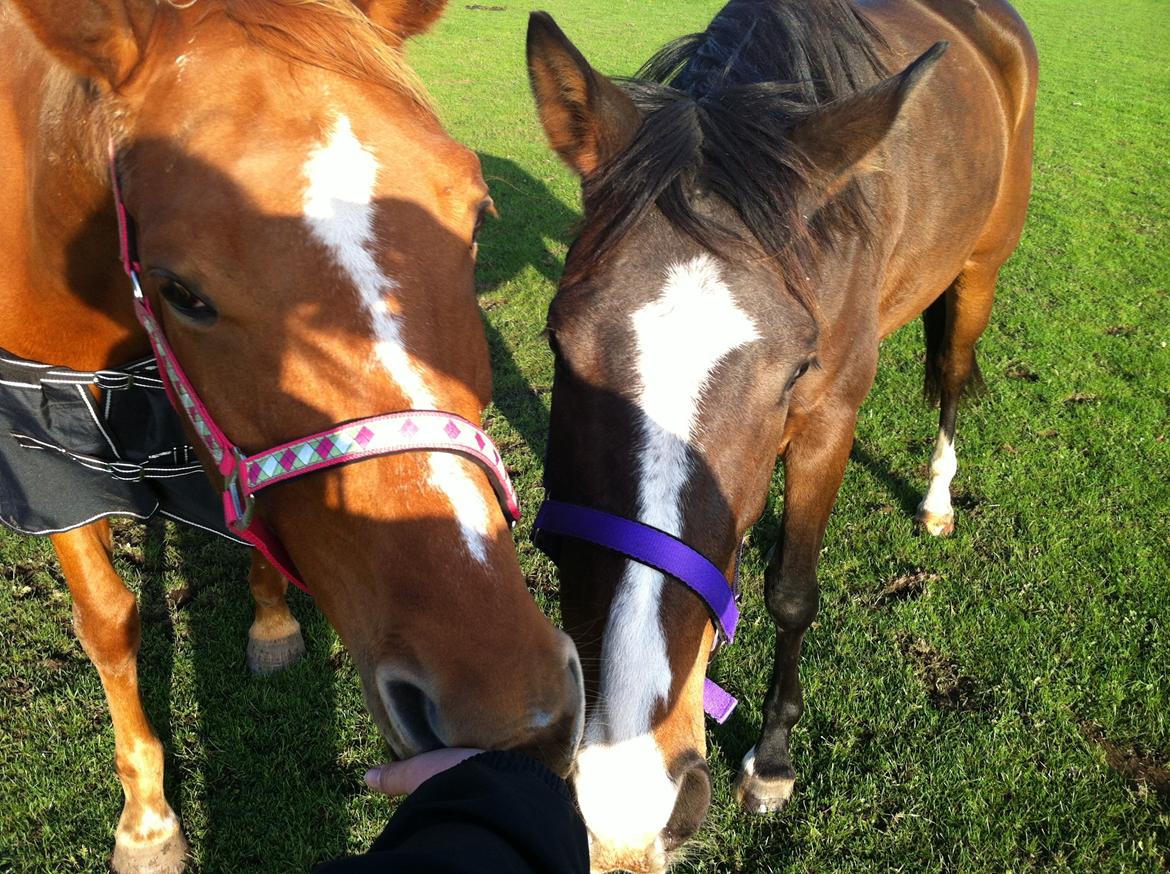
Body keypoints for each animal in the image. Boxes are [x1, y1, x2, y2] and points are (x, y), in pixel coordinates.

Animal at [0, 1, 585, 874]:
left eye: (478, 216)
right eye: (181, 291)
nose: (514, 714)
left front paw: (272, 629)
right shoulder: (50, 458)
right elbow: (106, 620)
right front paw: (147, 823)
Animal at [528, 0, 1034, 870]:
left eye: (797, 368)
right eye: (560, 342)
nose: (626, 796)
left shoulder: (829, 419)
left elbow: (793, 593)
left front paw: (770, 763)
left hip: (979, 271)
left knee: (952, 377)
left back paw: (937, 498)